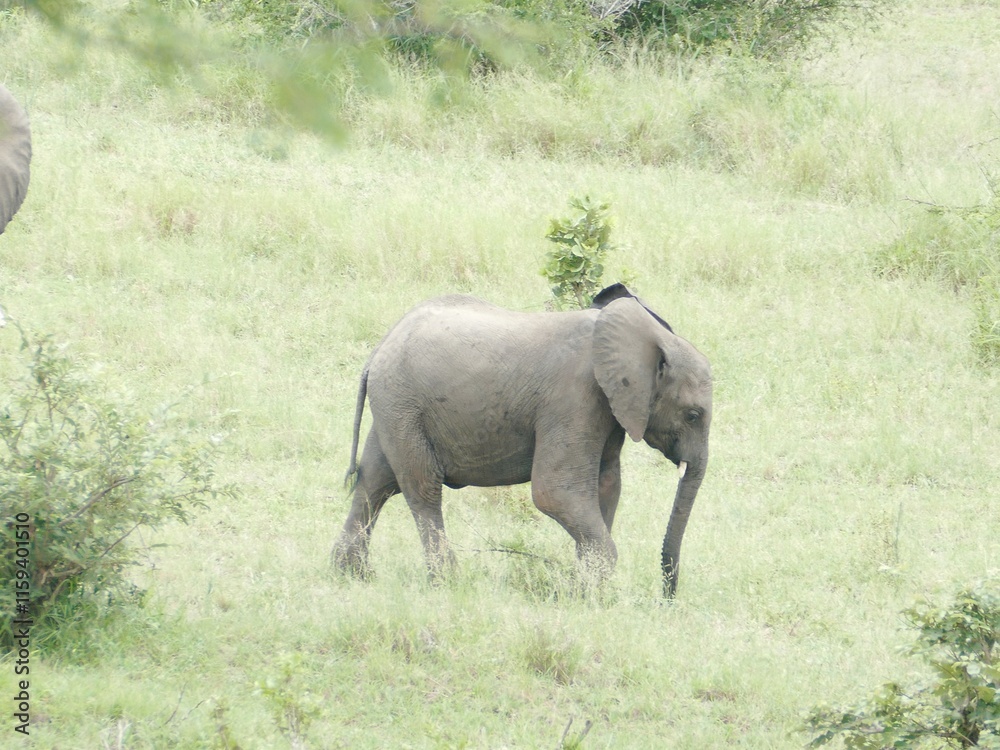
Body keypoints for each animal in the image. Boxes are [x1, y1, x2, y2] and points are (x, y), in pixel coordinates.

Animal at [332, 283, 712, 597]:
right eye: (693, 415)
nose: (666, 598)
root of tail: (378, 350)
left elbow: (607, 487)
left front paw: (585, 590)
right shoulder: (574, 399)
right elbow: (555, 493)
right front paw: (592, 594)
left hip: (394, 407)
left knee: (374, 481)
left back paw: (353, 576)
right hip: (404, 405)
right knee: (421, 488)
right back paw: (447, 582)